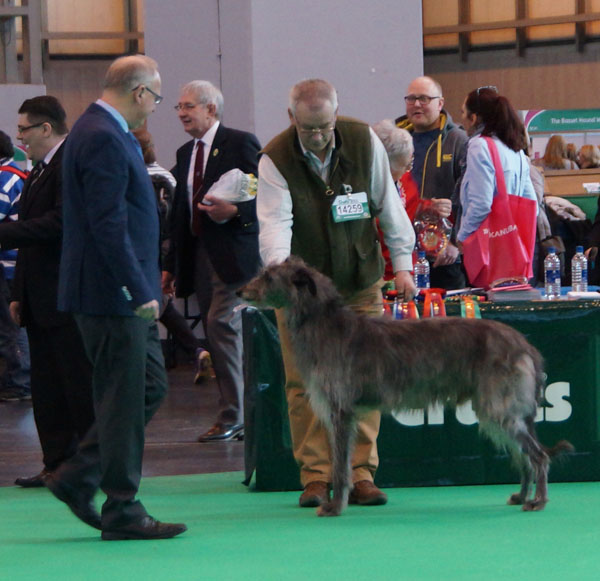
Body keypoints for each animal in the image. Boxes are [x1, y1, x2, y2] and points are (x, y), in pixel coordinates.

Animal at [239, 256, 572, 516]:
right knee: (523, 457)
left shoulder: (341, 412)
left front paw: (335, 506)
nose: (240, 291)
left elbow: (340, 466)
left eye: (269, 277)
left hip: (500, 407)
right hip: (498, 410)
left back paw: (538, 501)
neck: (325, 325)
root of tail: (524, 345)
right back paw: (523, 496)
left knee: (537, 456)